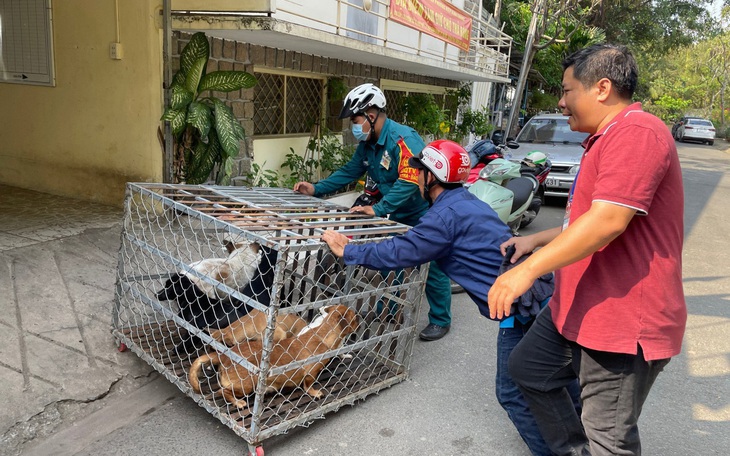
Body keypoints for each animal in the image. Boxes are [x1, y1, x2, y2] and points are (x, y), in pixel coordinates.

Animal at [188, 304, 358, 408]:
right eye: (355, 318)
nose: (361, 318)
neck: (322, 333)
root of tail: (223, 357)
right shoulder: (311, 373)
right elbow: (309, 384)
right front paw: (314, 392)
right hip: (247, 385)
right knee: (222, 392)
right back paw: (238, 402)